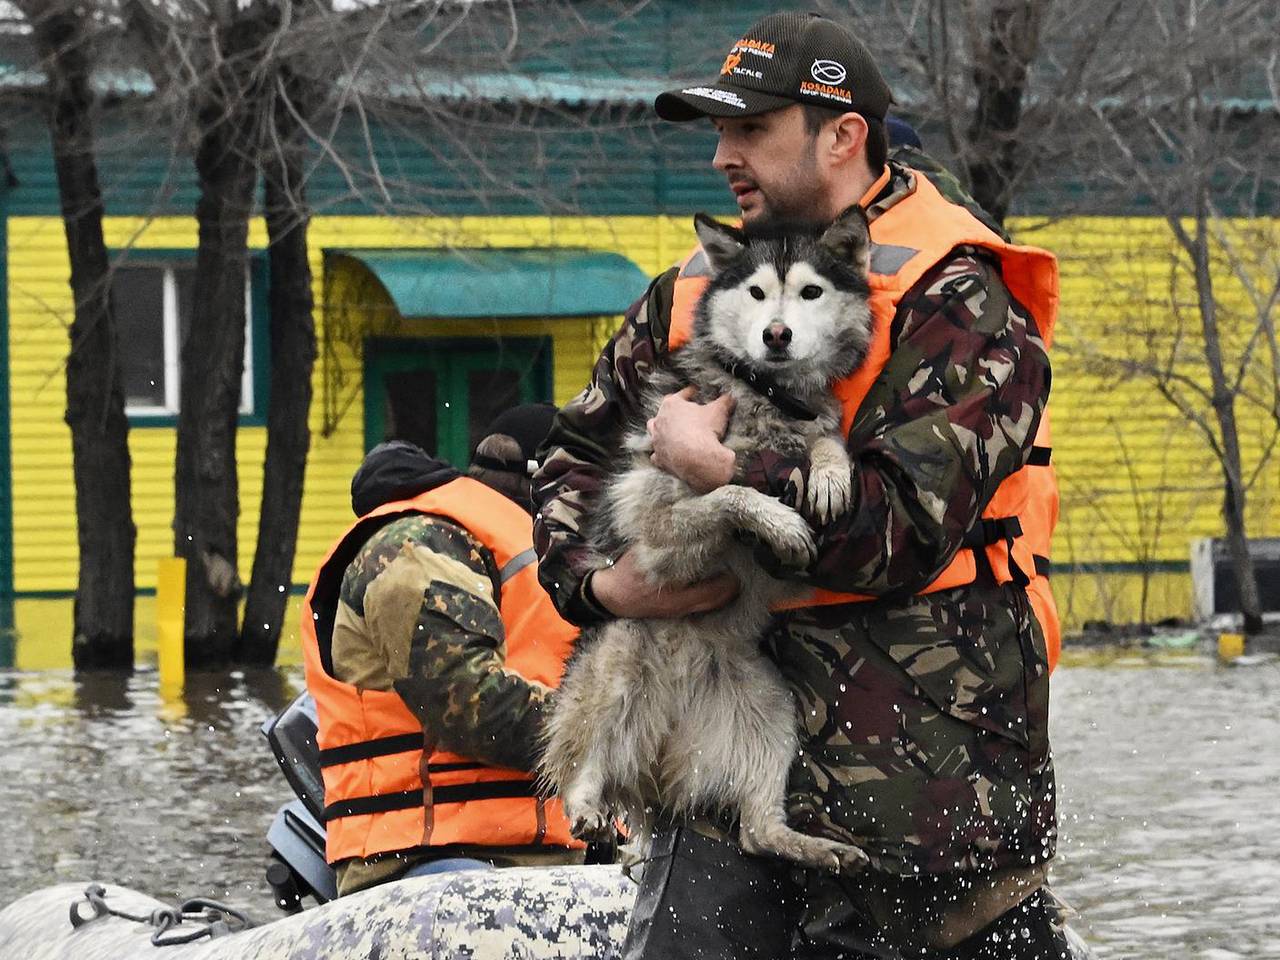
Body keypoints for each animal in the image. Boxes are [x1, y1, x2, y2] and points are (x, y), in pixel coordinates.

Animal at [535, 208, 875, 870]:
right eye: (757, 293)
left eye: (811, 292)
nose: (776, 335)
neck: (766, 397)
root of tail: (665, 753)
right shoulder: (656, 522)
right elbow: (730, 494)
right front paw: (780, 520)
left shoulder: (810, 422)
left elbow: (825, 439)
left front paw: (827, 475)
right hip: (620, 654)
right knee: (582, 765)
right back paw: (586, 804)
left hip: (773, 708)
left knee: (757, 831)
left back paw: (816, 847)